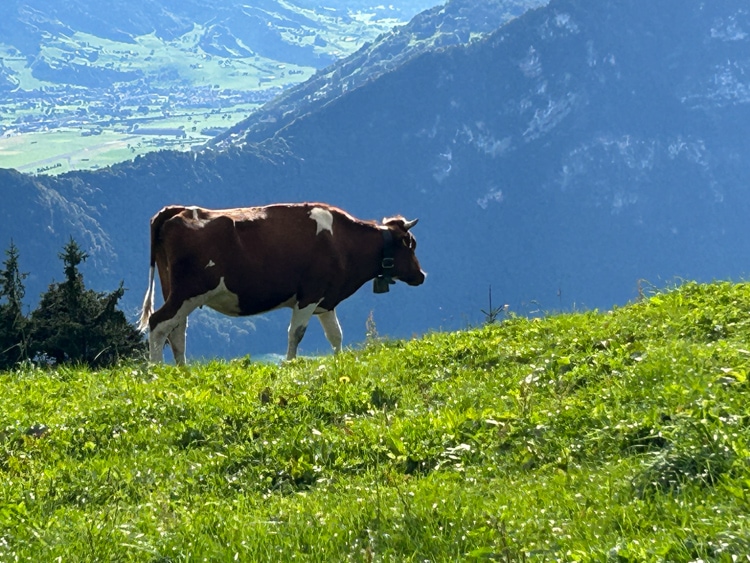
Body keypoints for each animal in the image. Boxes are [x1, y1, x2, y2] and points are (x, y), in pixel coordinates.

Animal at [138, 204, 426, 366]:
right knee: (159, 323)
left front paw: (340, 362)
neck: (343, 242)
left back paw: (182, 371)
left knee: (176, 330)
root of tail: (177, 210)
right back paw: (156, 370)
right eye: (411, 244)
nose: (422, 275)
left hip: (177, 292)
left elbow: (336, 335)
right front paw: (289, 365)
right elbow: (296, 333)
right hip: (188, 292)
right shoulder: (309, 295)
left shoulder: (326, 300)